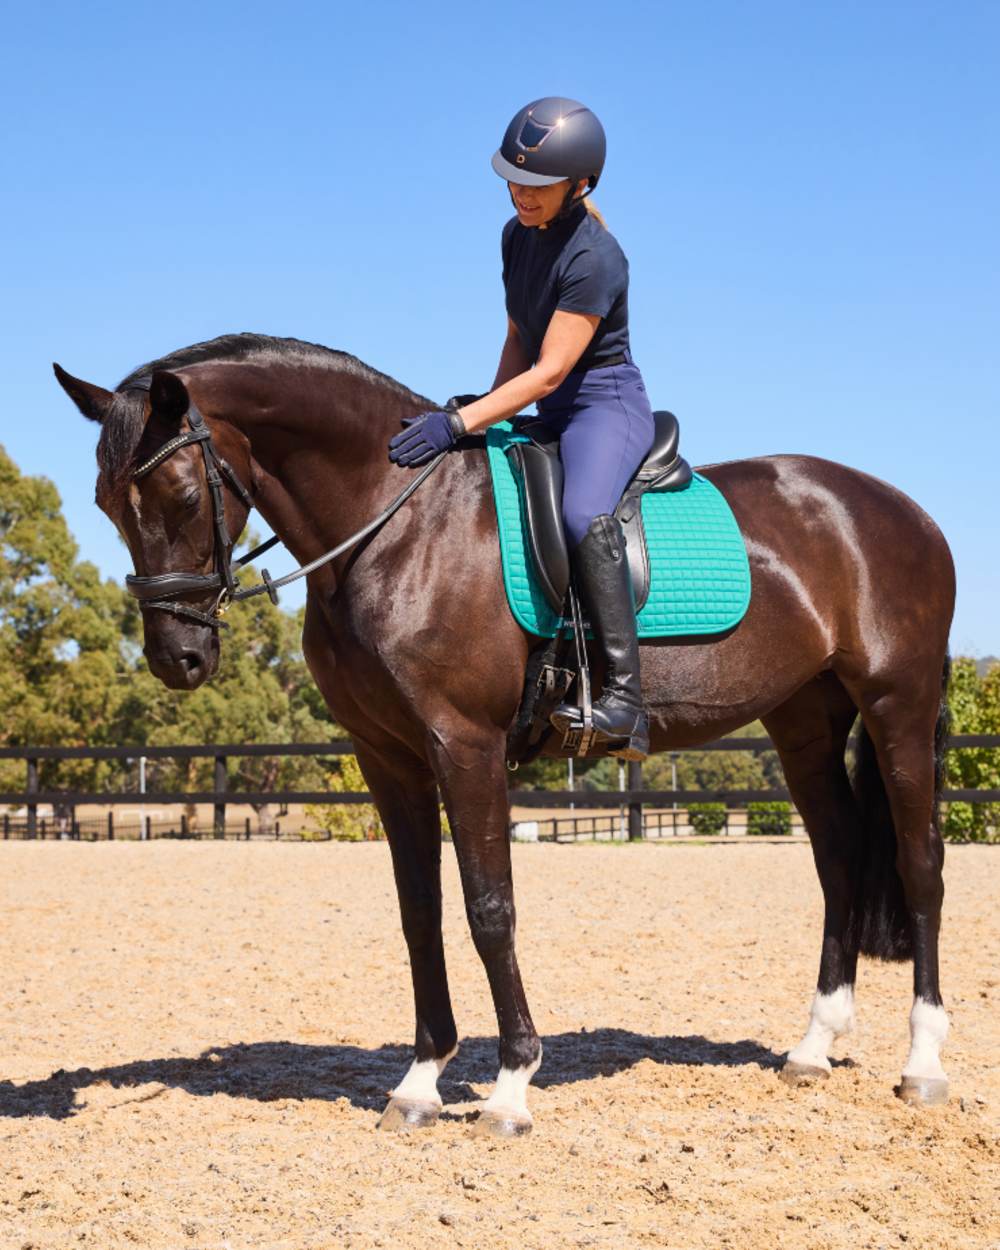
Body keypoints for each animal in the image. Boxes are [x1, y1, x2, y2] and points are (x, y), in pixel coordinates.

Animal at [55, 333, 956, 1135]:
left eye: (180, 494)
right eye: (106, 504)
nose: (178, 659)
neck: (397, 524)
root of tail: (899, 510)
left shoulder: (466, 746)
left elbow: (490, 907)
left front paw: (512, 1085)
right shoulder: (388, 759)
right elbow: (419, 911)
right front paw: (420, 1081)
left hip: (897, 707)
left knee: (919, 868)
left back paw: (923, 1065)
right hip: (804, 720)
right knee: (839, 861)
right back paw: (811, 1047)